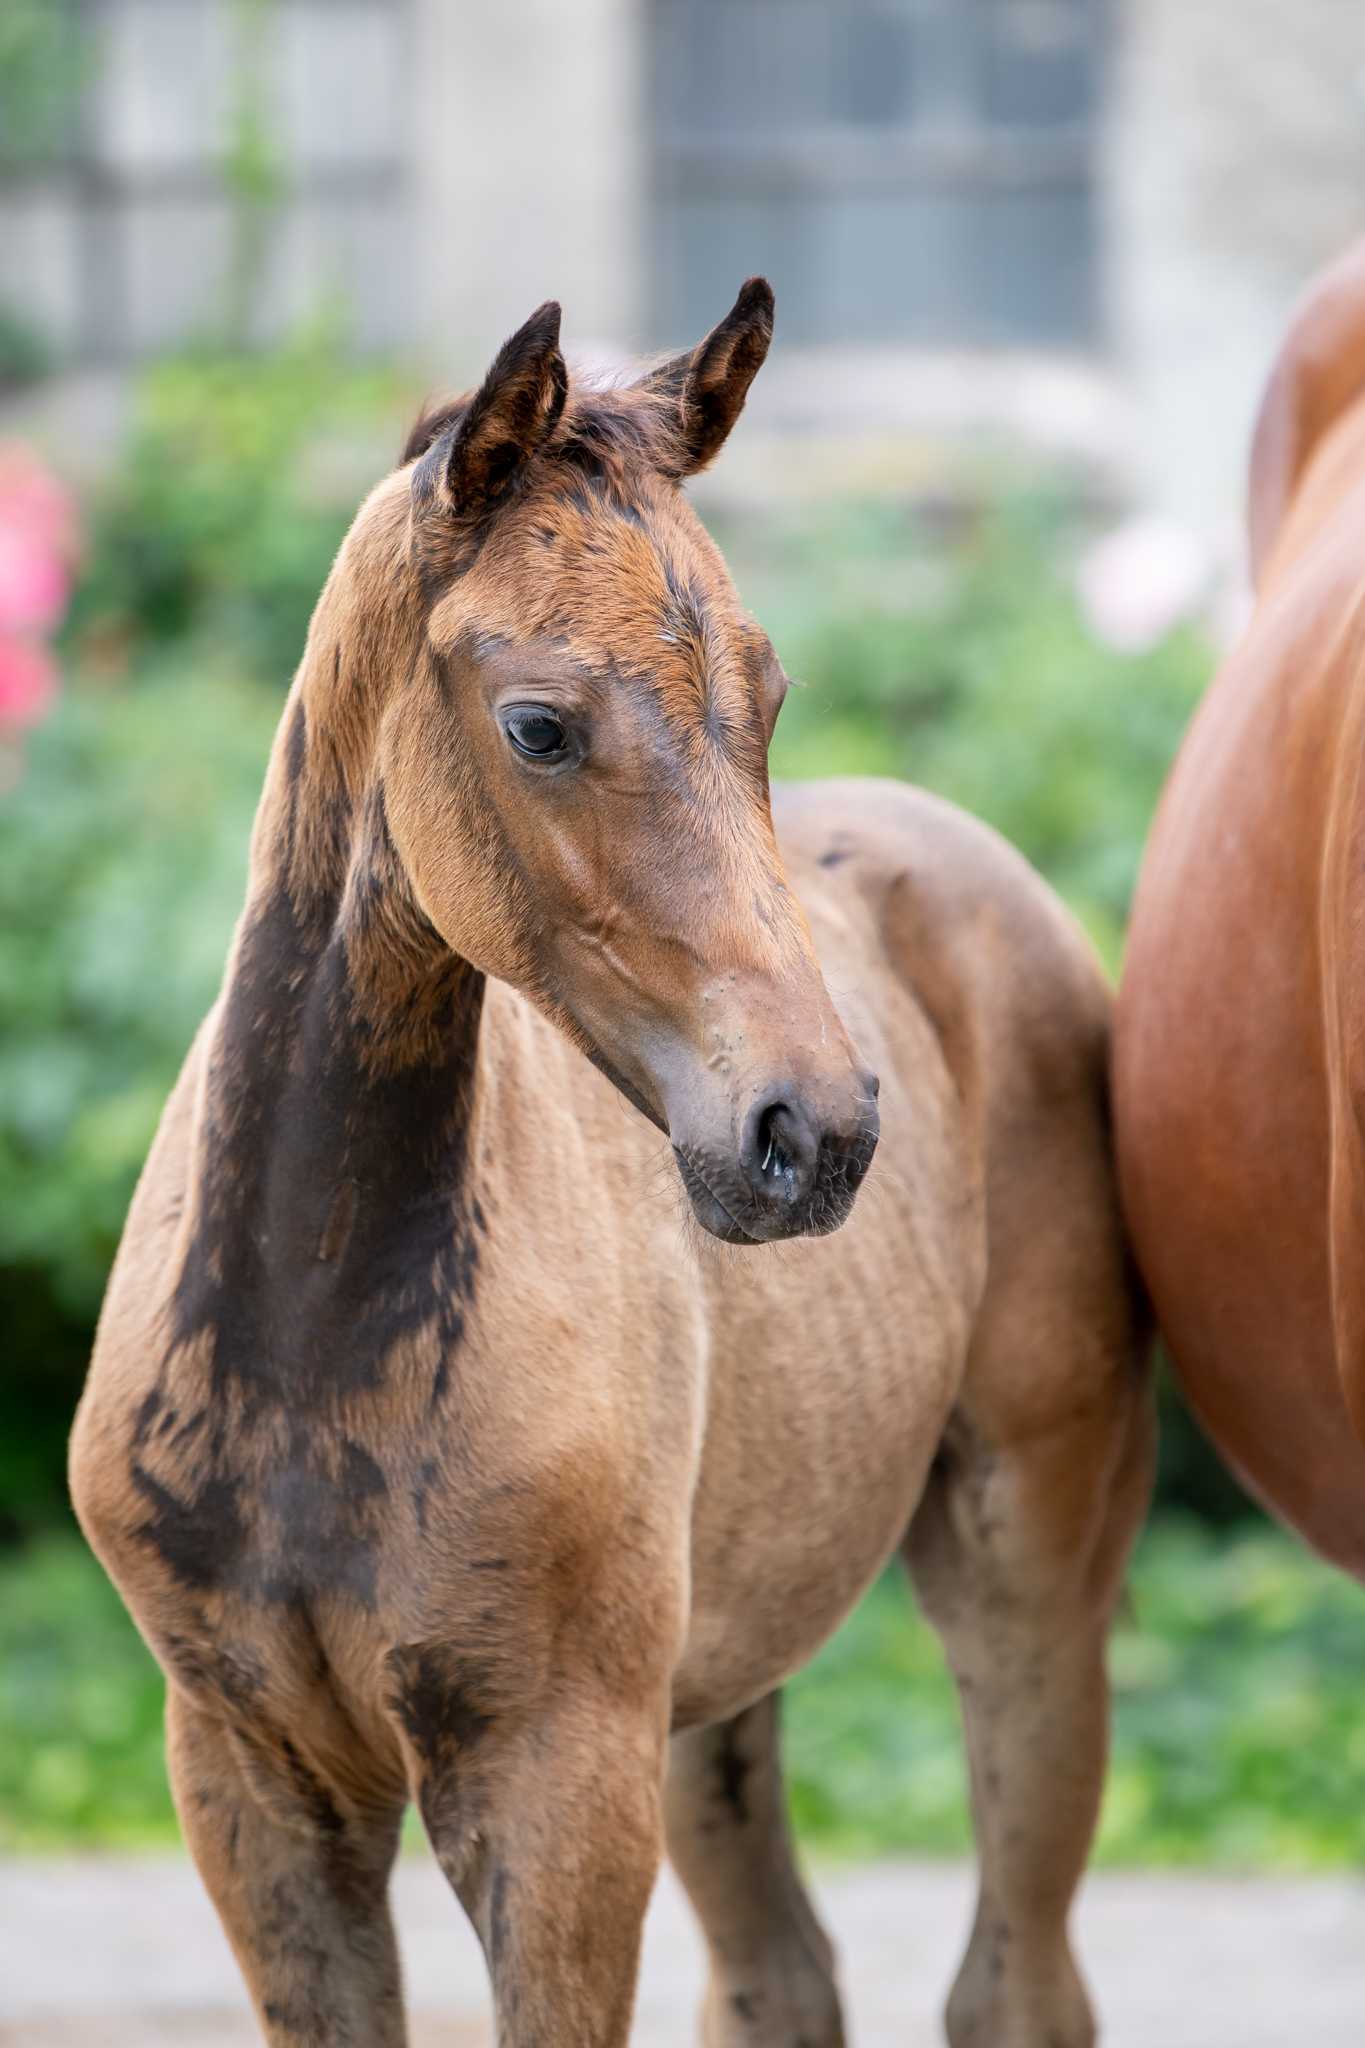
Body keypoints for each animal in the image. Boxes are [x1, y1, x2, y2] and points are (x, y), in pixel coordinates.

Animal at [71, 280, 1152, 2048]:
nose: (816, 1132)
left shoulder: (557, 1786)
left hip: (1029, 1580)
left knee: (1014, 1981)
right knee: (781, 1977)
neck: (317, 1341)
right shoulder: (248, 1781)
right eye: (538, 724)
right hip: (708, 1686)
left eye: (767, 697)